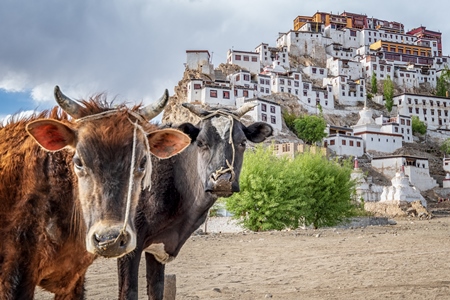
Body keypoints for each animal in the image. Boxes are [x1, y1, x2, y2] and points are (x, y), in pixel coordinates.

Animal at [116, 102, 272, 298]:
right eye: (201, 143)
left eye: (242, 142)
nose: (222, 181)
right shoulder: (128, 245)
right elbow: (128, 292)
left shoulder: (158, 247)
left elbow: (157, 289)